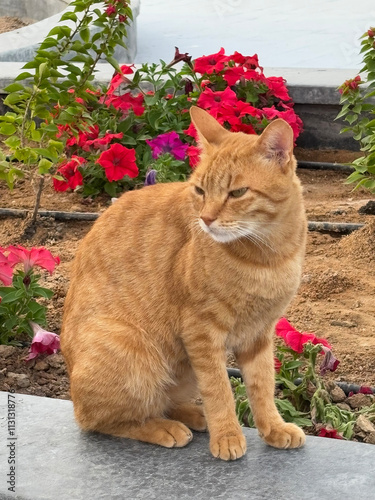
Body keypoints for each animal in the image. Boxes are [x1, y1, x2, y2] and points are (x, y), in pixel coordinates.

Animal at [61, 106, 306, 460]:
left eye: (237, 192)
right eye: (200, 191)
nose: (205, 219)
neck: (268, 256)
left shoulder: (259, 334)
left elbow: (262, 386)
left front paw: (273, 428)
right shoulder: (201, 331)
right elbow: (219, 389)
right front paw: (227, 435)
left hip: (181, 368)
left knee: (161, 401)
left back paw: (191, 414)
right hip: (132, 350)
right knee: (99, 420)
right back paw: (163, 427)